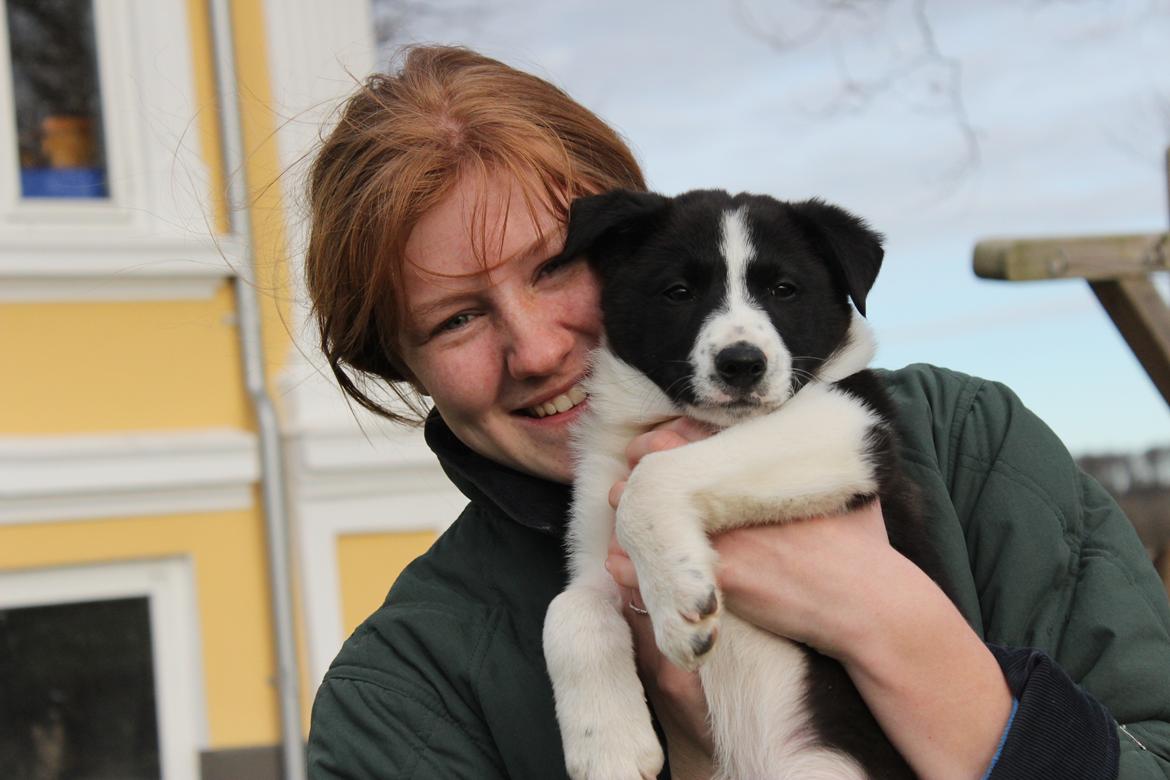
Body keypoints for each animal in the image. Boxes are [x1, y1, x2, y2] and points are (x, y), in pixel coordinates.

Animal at [542, 189, 945, 780]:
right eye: (679, 292)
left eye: (783, 290)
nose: (741, 364)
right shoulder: (597, 554)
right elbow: (567, 609)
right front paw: (609, 748)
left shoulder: (850, 428)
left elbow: (651, 476)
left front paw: (678, 600)